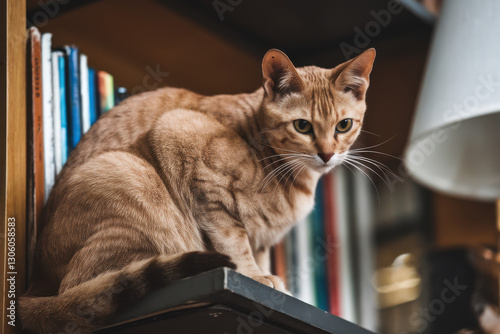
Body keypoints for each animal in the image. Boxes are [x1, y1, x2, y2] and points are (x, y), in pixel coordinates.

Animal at [20, 48, 376, 332]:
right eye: (303, 126)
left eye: (344, 125)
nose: (327, 154)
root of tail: (33, 284)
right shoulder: (188, 146)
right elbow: (235, 243)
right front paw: (253, 275)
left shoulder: (263, 234)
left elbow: (257, 250)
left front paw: (267, 277)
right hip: (129, 175)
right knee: (90, 285)